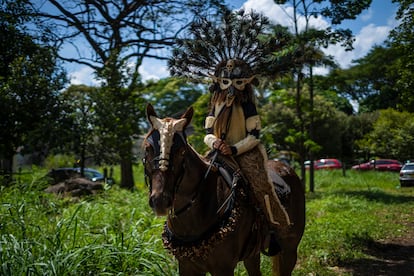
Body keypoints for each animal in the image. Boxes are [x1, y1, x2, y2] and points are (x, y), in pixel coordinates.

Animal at [144, 104, 306, 276]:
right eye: (147, 148)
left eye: (182, 151)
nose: (160, 200)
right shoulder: (187, 266)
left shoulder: (224, 267)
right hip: (252, 254)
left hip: (289, 250)